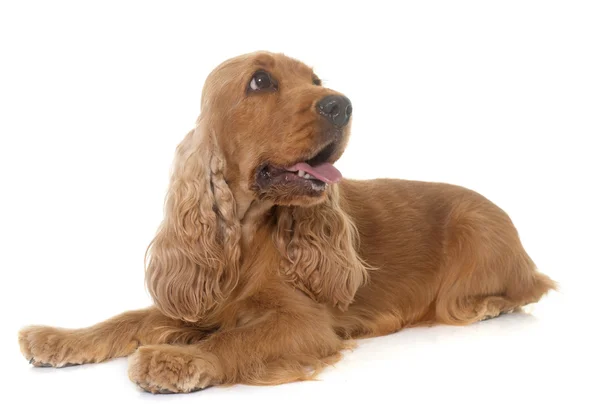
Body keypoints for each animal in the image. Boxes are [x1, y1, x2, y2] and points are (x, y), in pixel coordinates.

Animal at [16, 51, 556, 392]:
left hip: (475, 230)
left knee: (521, 289)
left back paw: (487, 305)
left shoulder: (304, 321)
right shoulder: (199, 295)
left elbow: (239, 337)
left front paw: (180, 358)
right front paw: (59, 338)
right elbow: (127, 317)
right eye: (260, 80)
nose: (342, 104)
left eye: (316, 82)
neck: (247, 232)